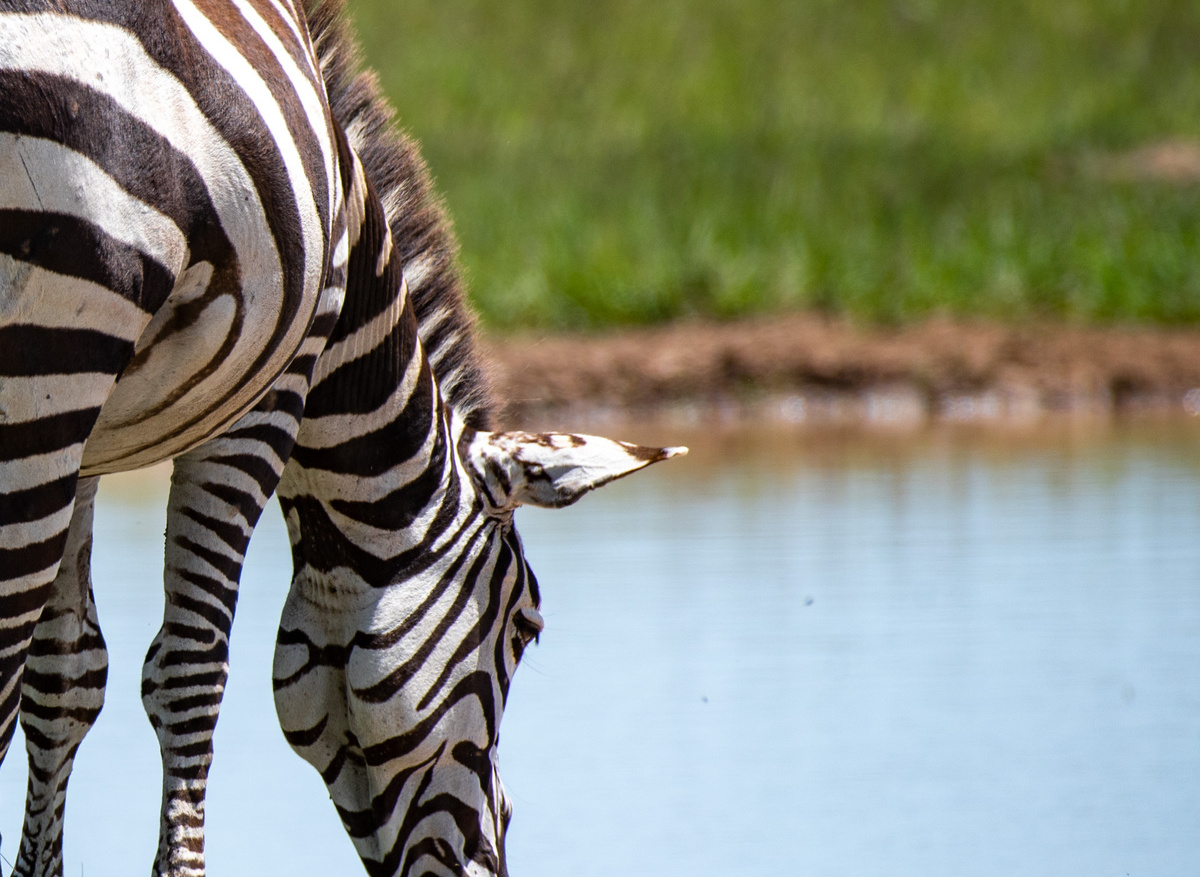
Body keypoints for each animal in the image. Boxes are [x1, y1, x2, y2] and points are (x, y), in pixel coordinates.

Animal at [0, 2, 685, 876]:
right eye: (526, 628)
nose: (492, 865)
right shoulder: (265, 395)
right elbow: (189, 670)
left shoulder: (90, 438)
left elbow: (65, 674)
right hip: (54, 341)